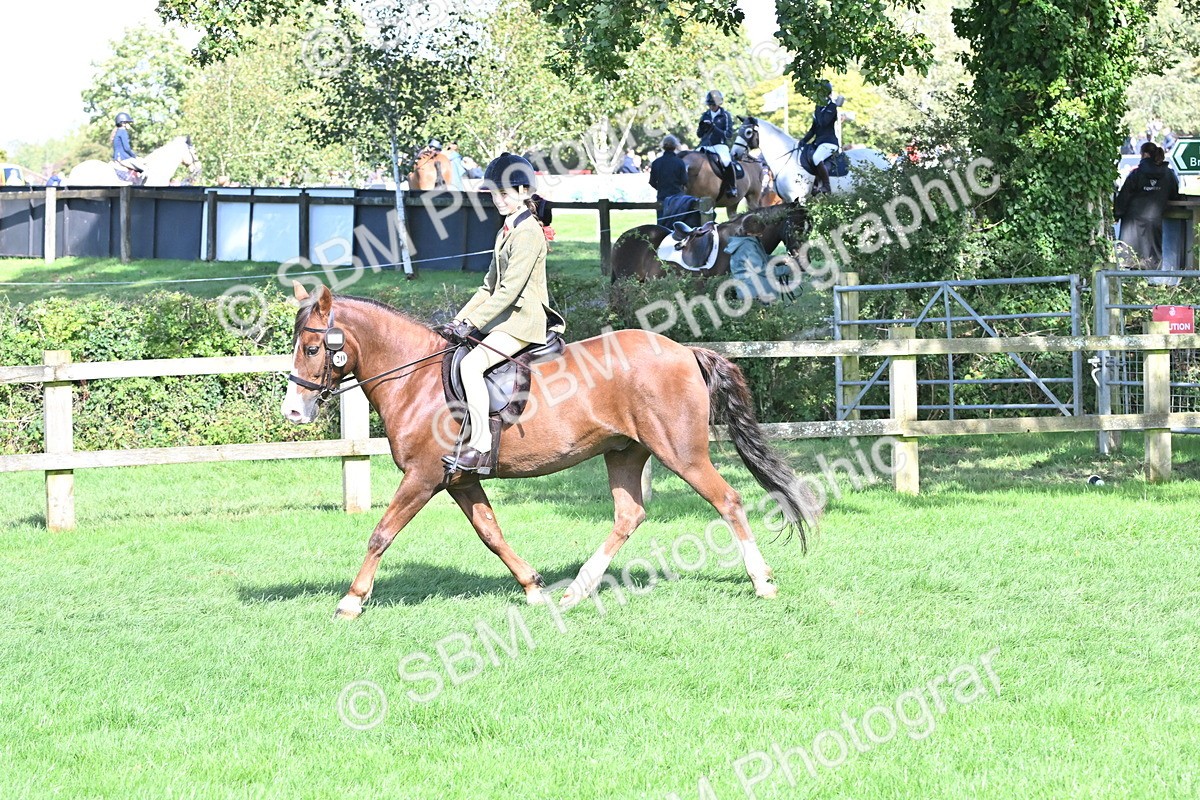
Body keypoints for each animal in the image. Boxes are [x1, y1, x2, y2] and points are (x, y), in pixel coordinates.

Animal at [281, 282, 823, 619]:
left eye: (312, 348)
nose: (293, 411)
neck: (416, 378)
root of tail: (683, 350)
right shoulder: (461, 479)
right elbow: (492, 535)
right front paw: (534, 589)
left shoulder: (422, 478)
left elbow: (380, 534)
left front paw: (351, 601)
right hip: (624, 452)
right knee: (629, 515)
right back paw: (577, 591)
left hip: (682, 455)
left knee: (727, 501)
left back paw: (762, 581)